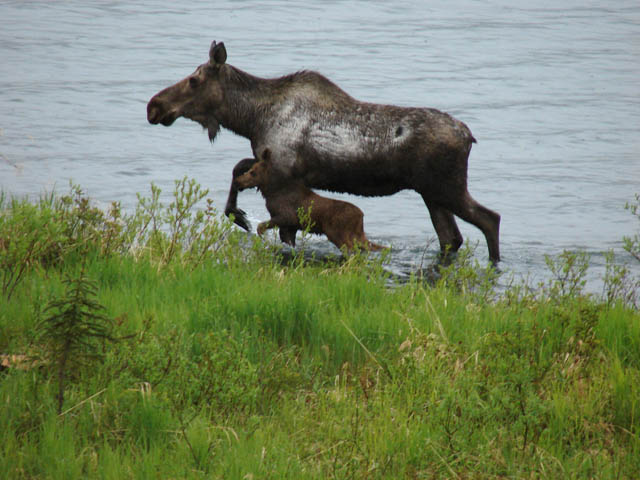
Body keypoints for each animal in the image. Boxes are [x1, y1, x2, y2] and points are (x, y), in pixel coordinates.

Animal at [236, 151, 382, 253]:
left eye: (253, 172)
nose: (238, 181)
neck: (270, 192)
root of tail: (361, 216)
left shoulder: (287, 217)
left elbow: (260, 226)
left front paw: (264, 239)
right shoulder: (291, 226)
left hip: (336, 232)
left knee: (352, 249)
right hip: (357, 234)